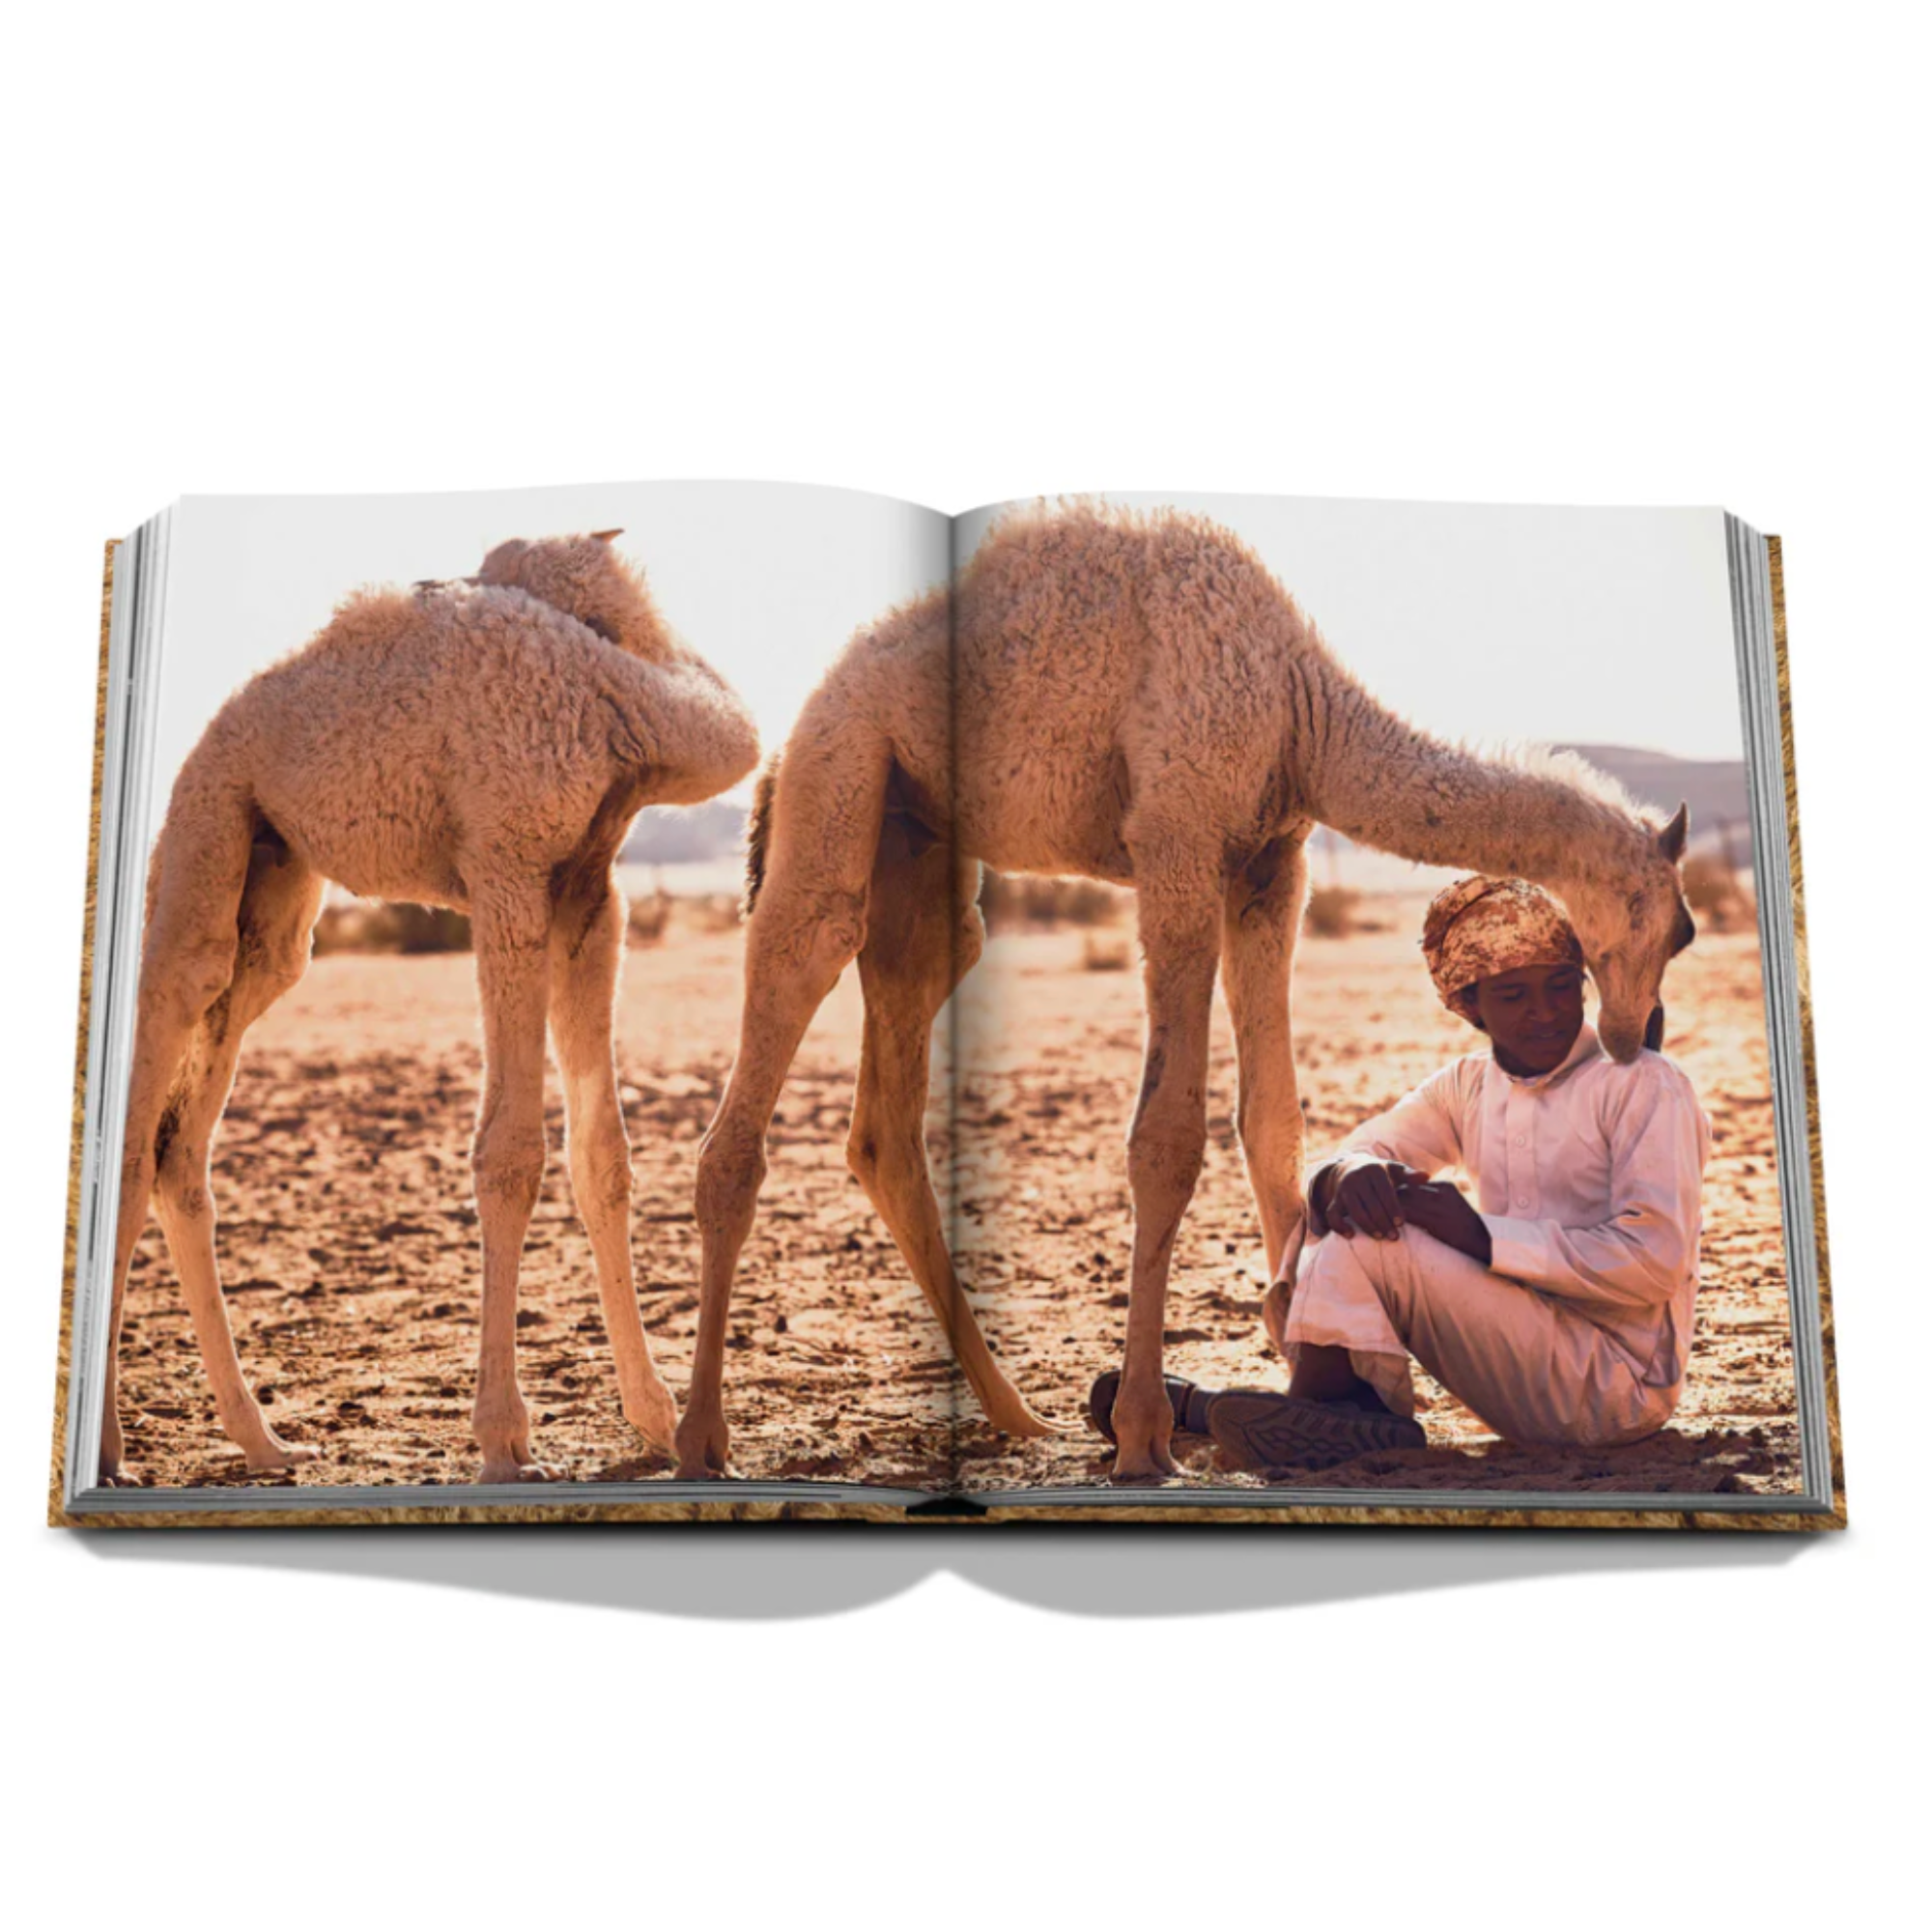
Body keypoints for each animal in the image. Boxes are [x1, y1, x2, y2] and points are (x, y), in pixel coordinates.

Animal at [101, 532, 759, 1485]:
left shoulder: (591, 893)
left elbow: (602, 1154)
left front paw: (657, 1417)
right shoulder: (508, 865)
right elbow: (509, 1153)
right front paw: (504, 1439)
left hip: (275, 901)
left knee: (180, 1143)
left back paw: (263, 1438)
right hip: (204, 829)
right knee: (157, 1057)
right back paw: (111, 1446)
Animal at [682, 503, 1694, 1483]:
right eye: (1682, 929)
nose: (1643, 1029)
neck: (1301, 711)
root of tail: (794, 731)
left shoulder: (1269, 864)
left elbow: (1273, 1120)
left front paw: (1294, 1357)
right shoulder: (1177, 840)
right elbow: (1166, 1140)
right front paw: (1141, 1435)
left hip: (921, 851)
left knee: (889, 1105)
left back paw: (1017, 1414)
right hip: (842, 774)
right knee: (787, 993)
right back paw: (700, 1438)